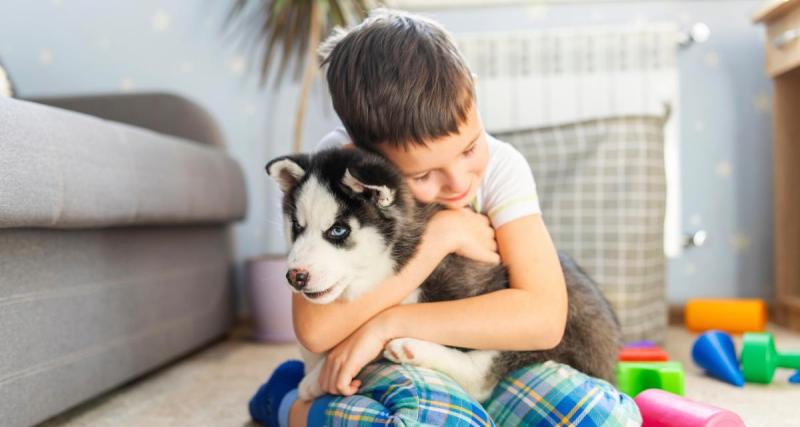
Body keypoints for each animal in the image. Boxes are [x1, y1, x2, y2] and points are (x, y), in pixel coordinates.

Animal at [266, 149, 620, 402]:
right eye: (296, 227)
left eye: (338, 230)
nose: (294, 277)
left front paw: (315, 379)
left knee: (480, 375)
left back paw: (411, 348)